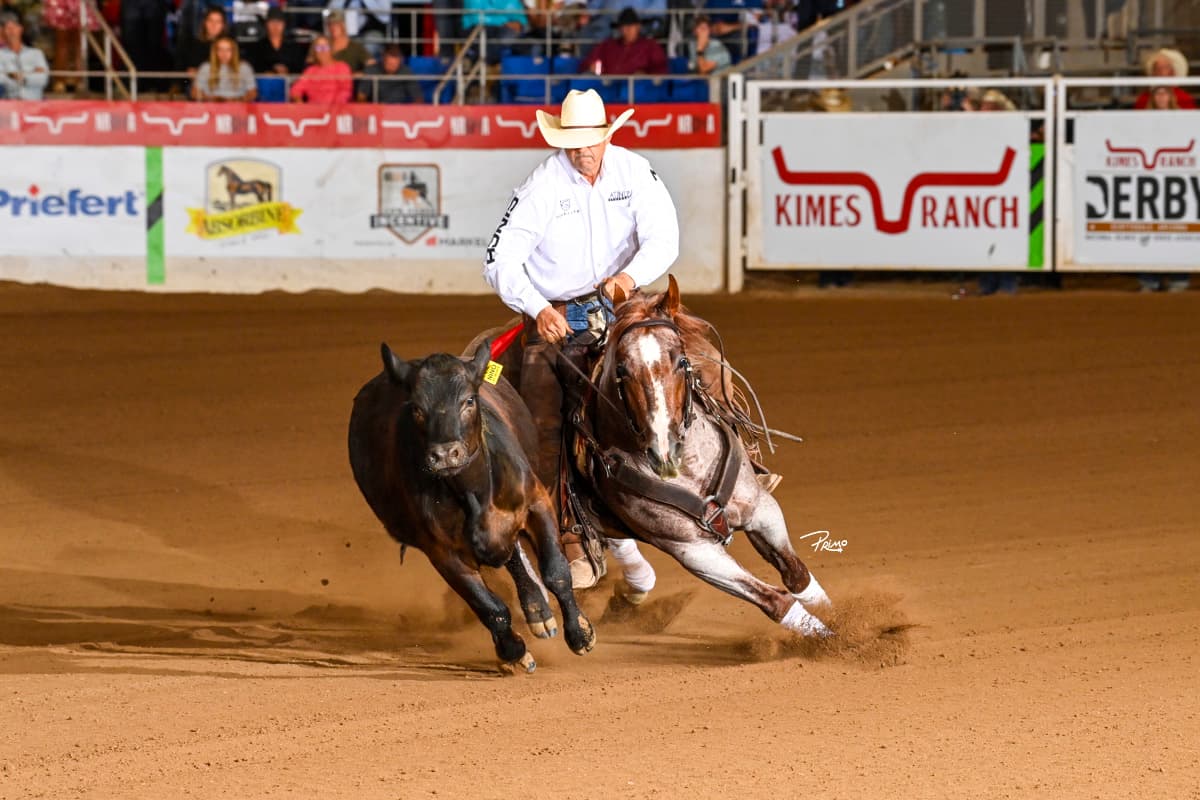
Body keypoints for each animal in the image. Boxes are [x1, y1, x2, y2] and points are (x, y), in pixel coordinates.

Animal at [348, 339, 596, 672]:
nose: (445, 454)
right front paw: (514, 653)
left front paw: (580, 634)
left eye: (468, 400)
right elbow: (489, 606)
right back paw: (536, 613)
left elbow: (556, 571)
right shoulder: (442, 552)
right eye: (417, 408)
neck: (474, 492)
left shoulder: (537, 503)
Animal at [566, 275, 834, 637]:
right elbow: (776, 601)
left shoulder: (760, 509)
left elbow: (797, 576)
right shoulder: (693, 550)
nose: (663, 450)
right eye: (621, 369)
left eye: (681, 361)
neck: (688, 473)